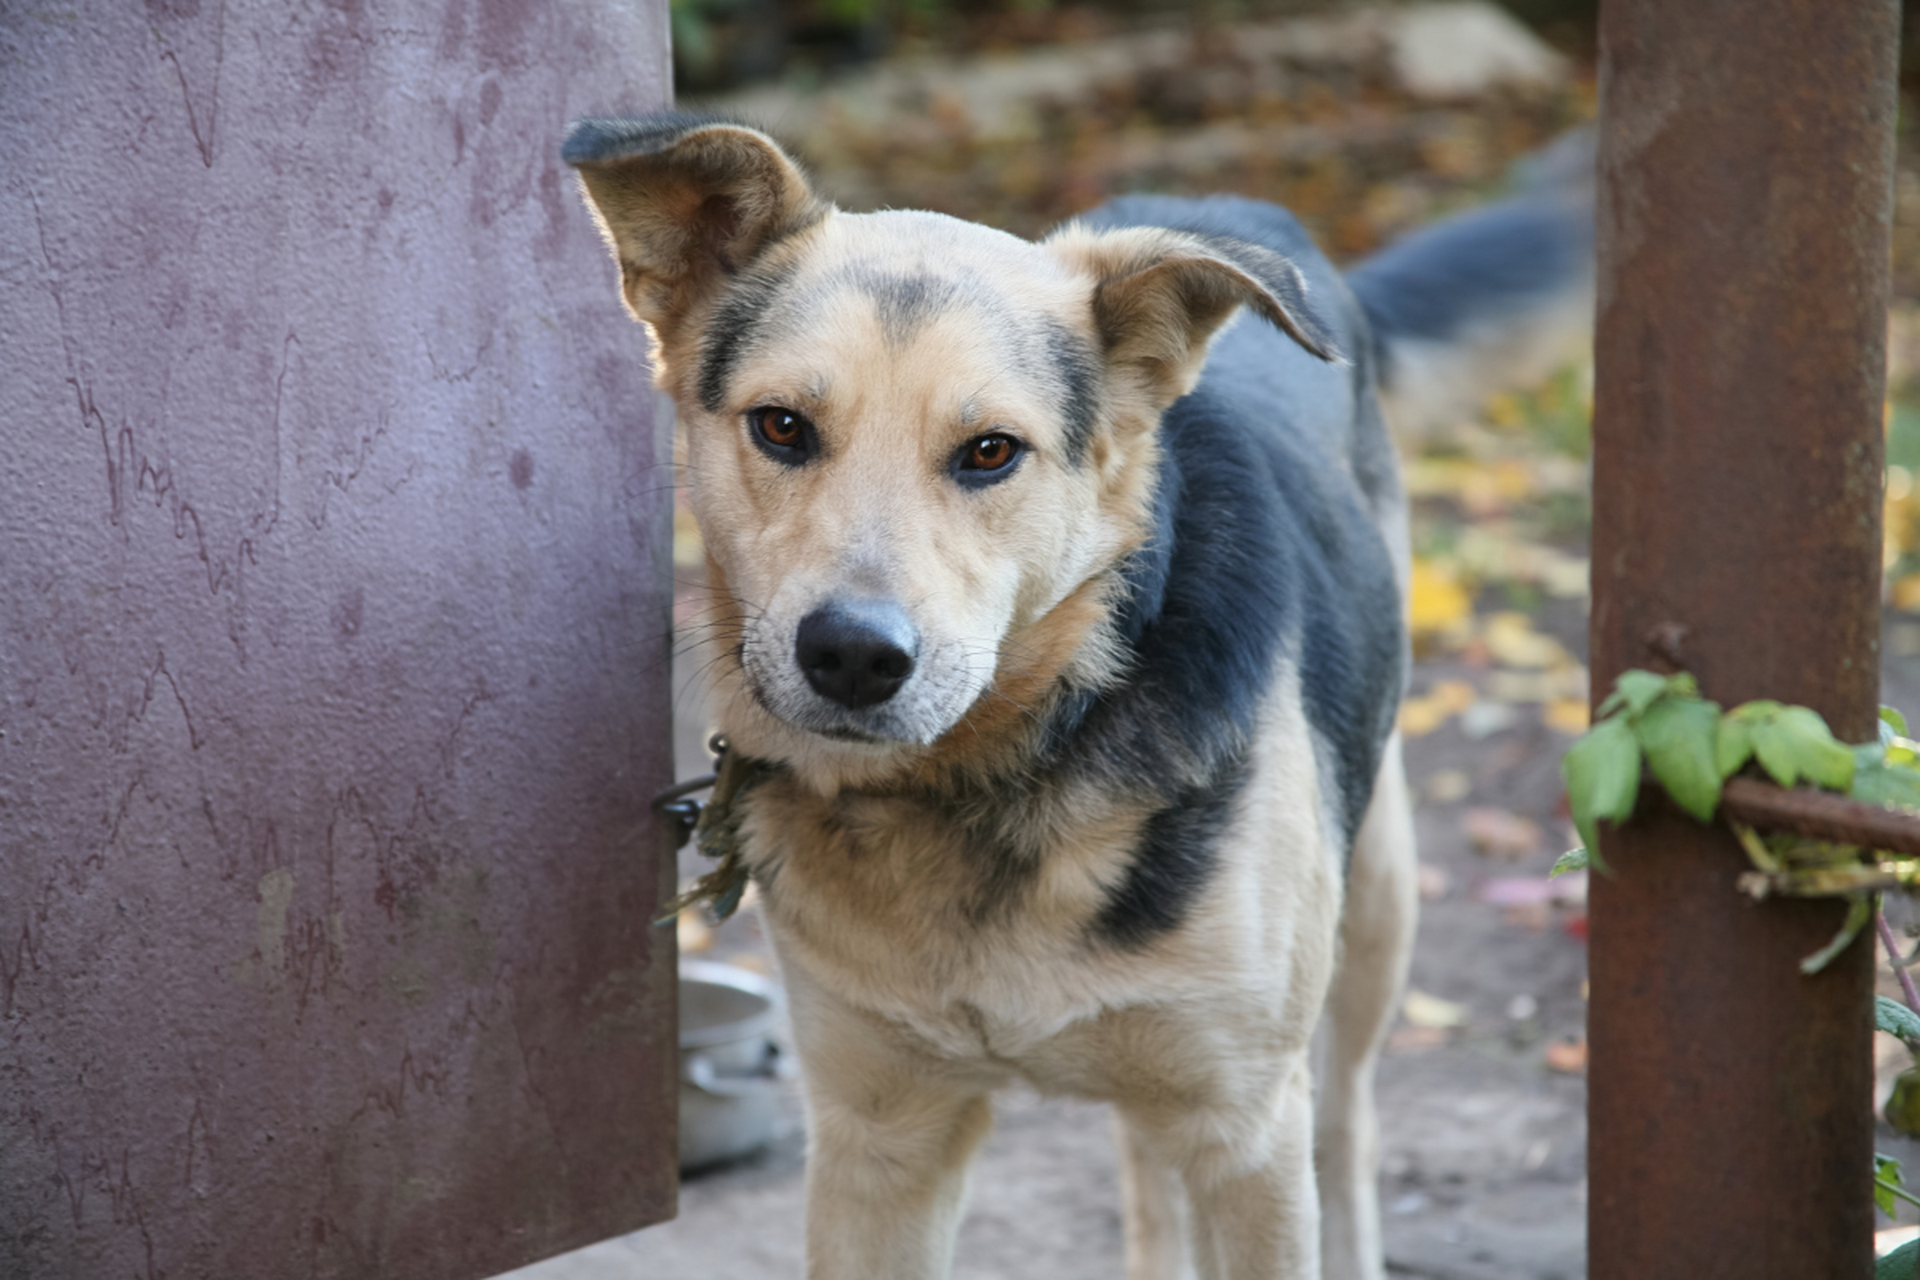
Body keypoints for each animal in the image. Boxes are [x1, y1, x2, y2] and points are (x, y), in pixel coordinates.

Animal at [556, 112, 1589, 1280]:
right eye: (780, 427)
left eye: (990, 451)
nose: (854, 656)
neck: (1006, 764)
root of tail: (1230, 208)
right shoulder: (880, 1136)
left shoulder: (1248, 1134)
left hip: (1378, 893)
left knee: (1351, 1119)